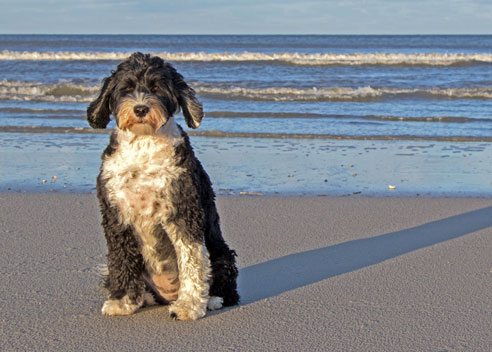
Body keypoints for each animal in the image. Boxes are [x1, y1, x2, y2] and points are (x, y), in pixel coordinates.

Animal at [87, 53, 240, 322]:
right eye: (126, 88)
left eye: (157, 88)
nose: (140, 108)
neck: (143, 145)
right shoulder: (116, 215)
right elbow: (120, 258)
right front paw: (122, 301)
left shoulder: (184, 210)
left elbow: (191, 259)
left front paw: (189, 306)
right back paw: (143, 298)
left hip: (221, 255)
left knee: (224, 286)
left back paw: (211, 300)